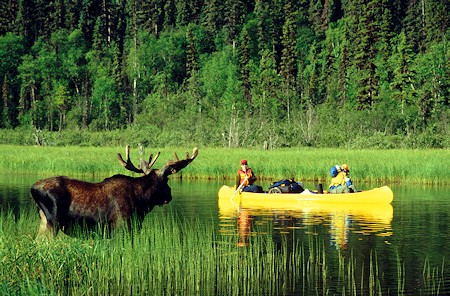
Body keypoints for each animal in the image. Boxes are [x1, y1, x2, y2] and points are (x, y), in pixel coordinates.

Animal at [31, 146, 199, 238]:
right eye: (167, 181)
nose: (169, 195)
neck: (141, 202)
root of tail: (33, 188)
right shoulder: (122, 226)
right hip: (53, 222)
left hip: (43, 221)